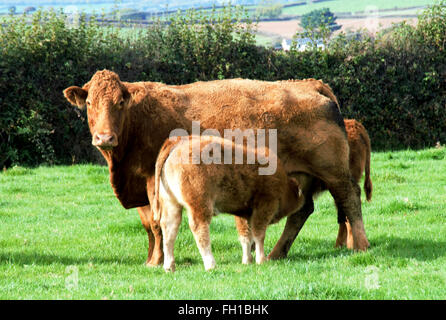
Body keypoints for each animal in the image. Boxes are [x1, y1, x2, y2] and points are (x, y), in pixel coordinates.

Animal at [152, 136, 304, 272]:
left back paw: (169, 266)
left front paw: (247, 261)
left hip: (171, 204)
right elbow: (259, 234)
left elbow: (245, 236)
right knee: (200, 229)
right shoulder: (264, 206)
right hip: (200, 205)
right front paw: (261, 260)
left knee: (169, 229)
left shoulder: (244, 213)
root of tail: (177, 142)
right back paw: (211, 265)